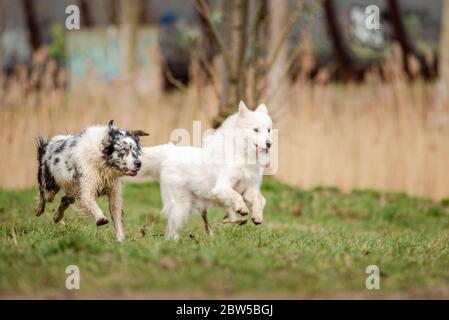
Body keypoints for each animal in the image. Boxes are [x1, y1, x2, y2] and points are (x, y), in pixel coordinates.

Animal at [139, 101, 272, 239]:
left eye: (268, 130)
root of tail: (170, 151)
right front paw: (242, 208)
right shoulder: (222, 186)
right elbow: (237, 196)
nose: (269, 144)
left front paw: (257, 216)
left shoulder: (250, 189)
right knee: (171, 232)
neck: (243, 155)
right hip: (181, 207)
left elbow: (260, 200)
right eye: (256, 130)